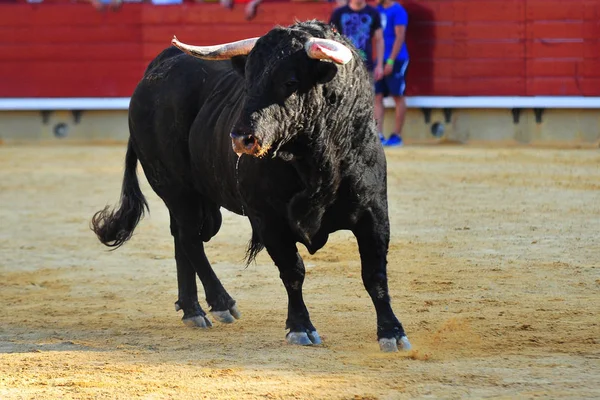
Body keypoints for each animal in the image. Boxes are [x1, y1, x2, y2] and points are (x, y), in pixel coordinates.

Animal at [91, 20, 412, 352]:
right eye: (248, 83)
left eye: (290, 81)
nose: (241, 139)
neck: (317, 160)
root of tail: (154, 69)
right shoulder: (268, 219)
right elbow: (293, 271)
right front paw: (300, 327)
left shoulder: (373, 213)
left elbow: (375, 274)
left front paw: (392, 332)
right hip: (174, 187)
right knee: (190, 239)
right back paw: (220, 303)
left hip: (197, 199)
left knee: (182, 237)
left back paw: (192, 309)